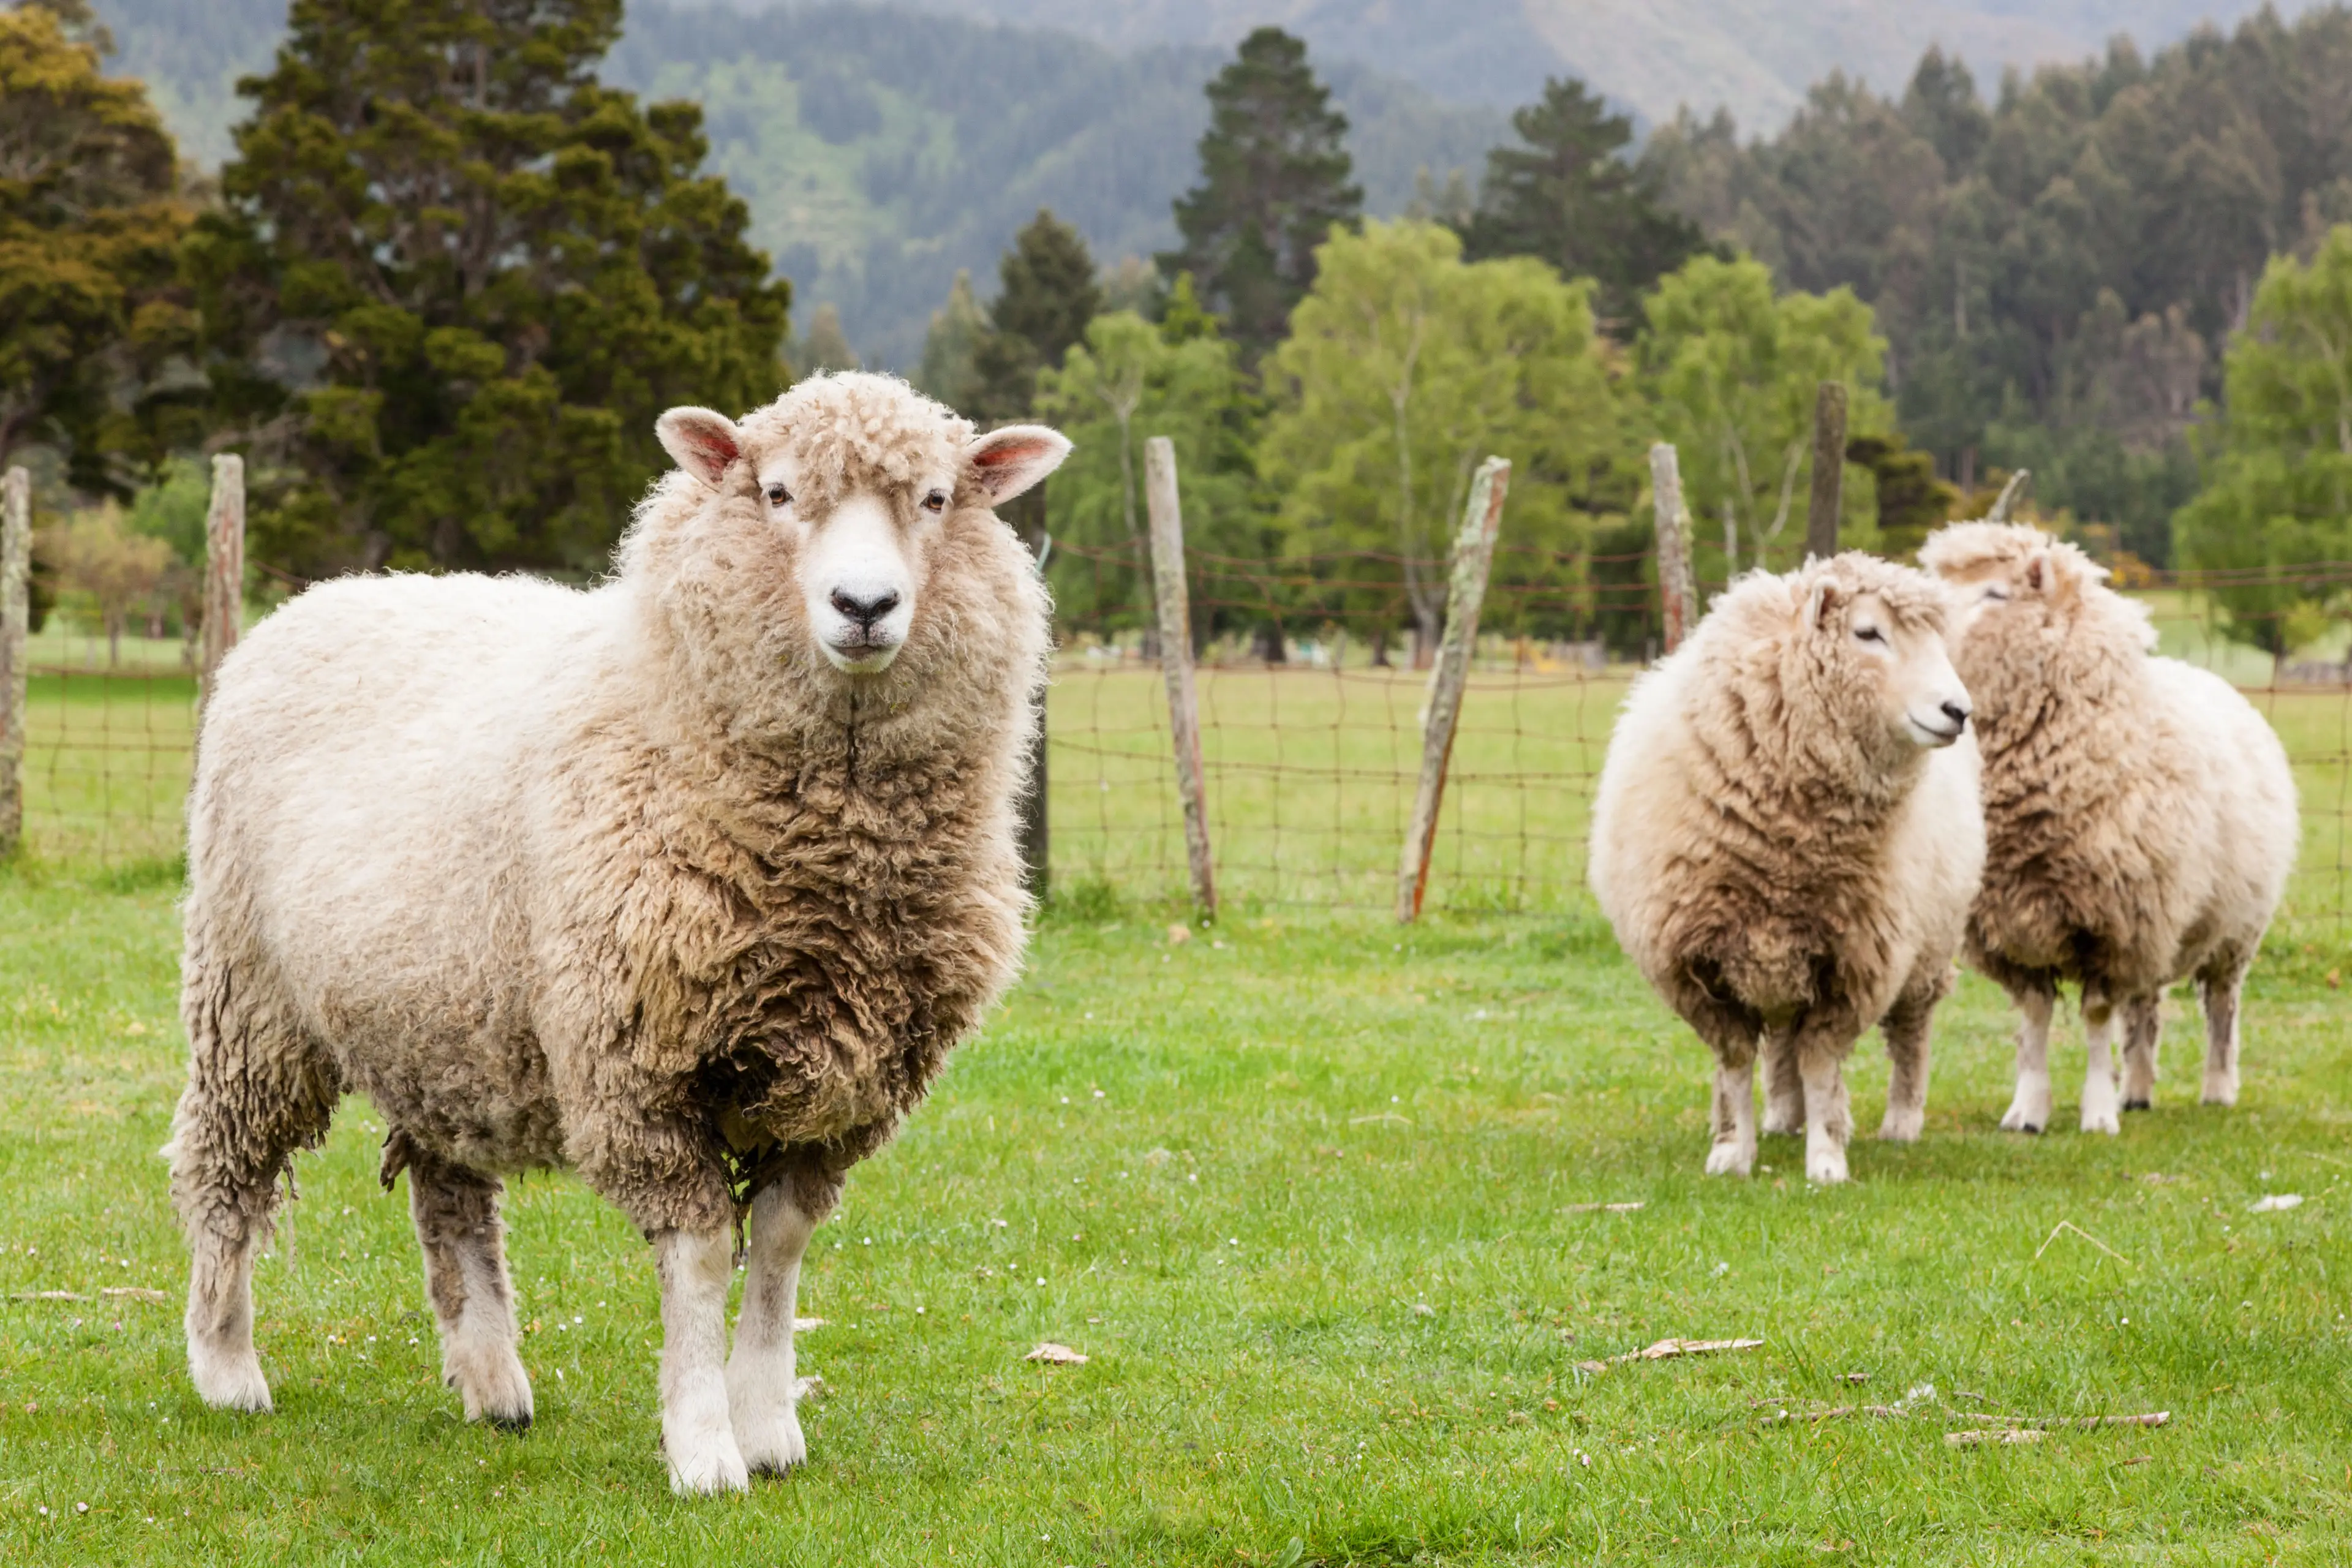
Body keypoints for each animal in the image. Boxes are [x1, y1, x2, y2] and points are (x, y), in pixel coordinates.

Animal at [164, 372, 1068, 1495]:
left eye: (938, 499)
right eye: (776, 493)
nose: (865, 607)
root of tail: (320, 599)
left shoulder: (838, 1089)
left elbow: (779, 1249)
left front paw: (768, 1424)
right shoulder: (641, 1064)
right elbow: (701, 1255)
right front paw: (705, 1444)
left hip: (440, 1014)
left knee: (449, 1196)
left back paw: (492, 1383)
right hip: (249, 995)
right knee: (222, 1168)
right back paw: (226, 1364)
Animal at [1588, 553, 1985, 1185]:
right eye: (1867, 633)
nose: (1959, 712)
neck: (1786, 849)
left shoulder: (1855, 961)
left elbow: (1821, 1064)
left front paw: (1825, 1159)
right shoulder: (1698, 963)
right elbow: (1735, 1061)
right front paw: (1732, 1150)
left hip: (1926, 947)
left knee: (1909, 1033)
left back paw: (1902, 1120)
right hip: (1778, 956)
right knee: (1782, 1044)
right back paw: (1780, 1117)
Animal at [1920, 522, 2298, 1134]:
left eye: (1996, 593)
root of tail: (2203, 675)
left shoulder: (2111, 925)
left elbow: (2097, 1015)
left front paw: (2096, 1112)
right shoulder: (2020, 925)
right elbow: (2036, 1018)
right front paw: (2028, 1109)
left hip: (2234, 928)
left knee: (2221, 1005)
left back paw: (2218, 1088)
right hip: (2162, 919)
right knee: (2145, 1008)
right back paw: (2137, 1089)